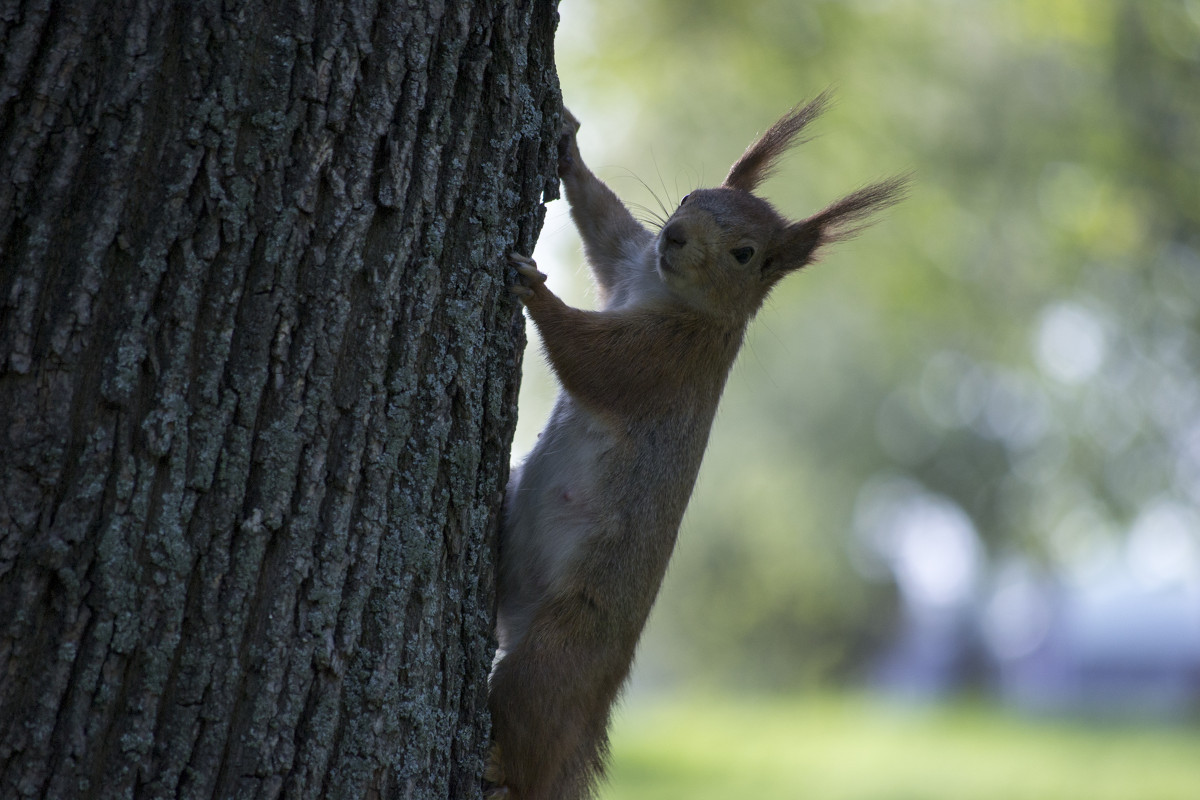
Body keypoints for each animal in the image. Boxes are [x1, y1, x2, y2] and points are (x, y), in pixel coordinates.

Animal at [482, 95, 902, 800]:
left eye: (744, 253)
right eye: (687, 196)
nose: (674, 236)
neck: (663, 290)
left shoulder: (670, 361)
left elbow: (590, 362)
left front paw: (535, 288)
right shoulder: (628, 261)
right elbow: (603, 223)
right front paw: (567, 141)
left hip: (559, 653)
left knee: (530, 720)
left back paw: (498, 767)